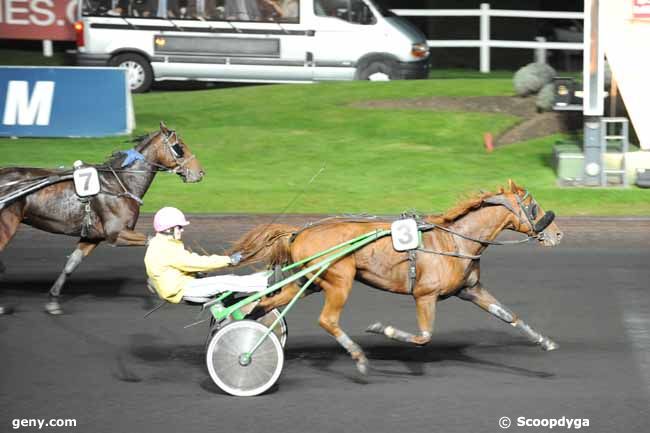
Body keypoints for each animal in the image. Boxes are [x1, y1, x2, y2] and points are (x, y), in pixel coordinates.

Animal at [0, 121, 202, 314]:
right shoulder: (116, 233)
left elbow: (71, 264)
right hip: (6, 225)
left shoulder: (92, 237)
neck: (120, 184)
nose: (200, 172)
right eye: (179, 147)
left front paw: (53, 301)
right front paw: (154, 282)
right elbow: (152, 241)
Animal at [232, 180, 560, 374]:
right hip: (339, 280)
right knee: (327, 320)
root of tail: (299, 232)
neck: (455, 241)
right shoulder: (425, 295)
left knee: (264, 305)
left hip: (308, 282)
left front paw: (544, 341)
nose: (557, 233)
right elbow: (423, 336)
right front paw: (382, 329)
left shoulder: (472, 290)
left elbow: (509, 316)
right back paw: (358, 356)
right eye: (533, 205)